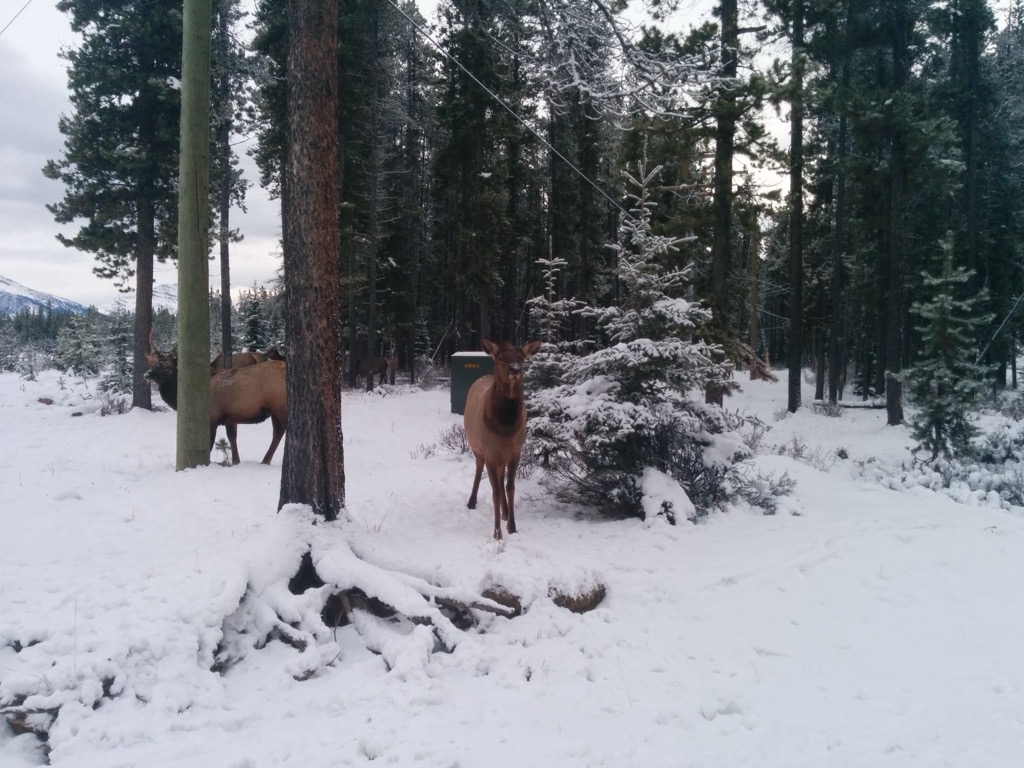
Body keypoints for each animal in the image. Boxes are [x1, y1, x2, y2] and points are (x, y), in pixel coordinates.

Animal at [144, 344, 288, 466]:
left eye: (167, 366)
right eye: (156, 363)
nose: (147, 374)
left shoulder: (212, 418)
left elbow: (210, 445)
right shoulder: (230, 417)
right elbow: (232, 438)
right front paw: (236, 461)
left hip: (280, 407)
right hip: (274, 410)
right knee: (278, 433)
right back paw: (265, 461)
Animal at [464, 335, 544, 540]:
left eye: (522, 358)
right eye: (500, 358)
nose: (515, 369)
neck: (505, 428)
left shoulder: (516, 451)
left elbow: (509, 488)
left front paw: (512, 526)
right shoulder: (490, 451)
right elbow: (495, 493)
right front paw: (497, 533)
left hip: (501, 457)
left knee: (501, 482)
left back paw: (506, 513)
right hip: (477, 448)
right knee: (479, 469)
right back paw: (472, 501)